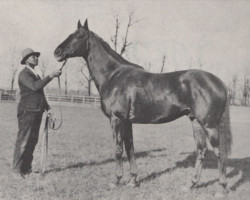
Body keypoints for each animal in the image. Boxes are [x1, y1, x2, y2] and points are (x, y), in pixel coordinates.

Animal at [54, 19, 232, 192]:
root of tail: (220, 82)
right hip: (195, 121)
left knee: (219, 152)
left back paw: (222, 187)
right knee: (201, 150)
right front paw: (133, 180)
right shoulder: (127, 122)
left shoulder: (116, 119)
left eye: (79, 36)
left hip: (209, 125)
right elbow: (130, 149)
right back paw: (191, 184)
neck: (113, 76)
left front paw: (116, 180)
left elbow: (118, 150)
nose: (57, 52)